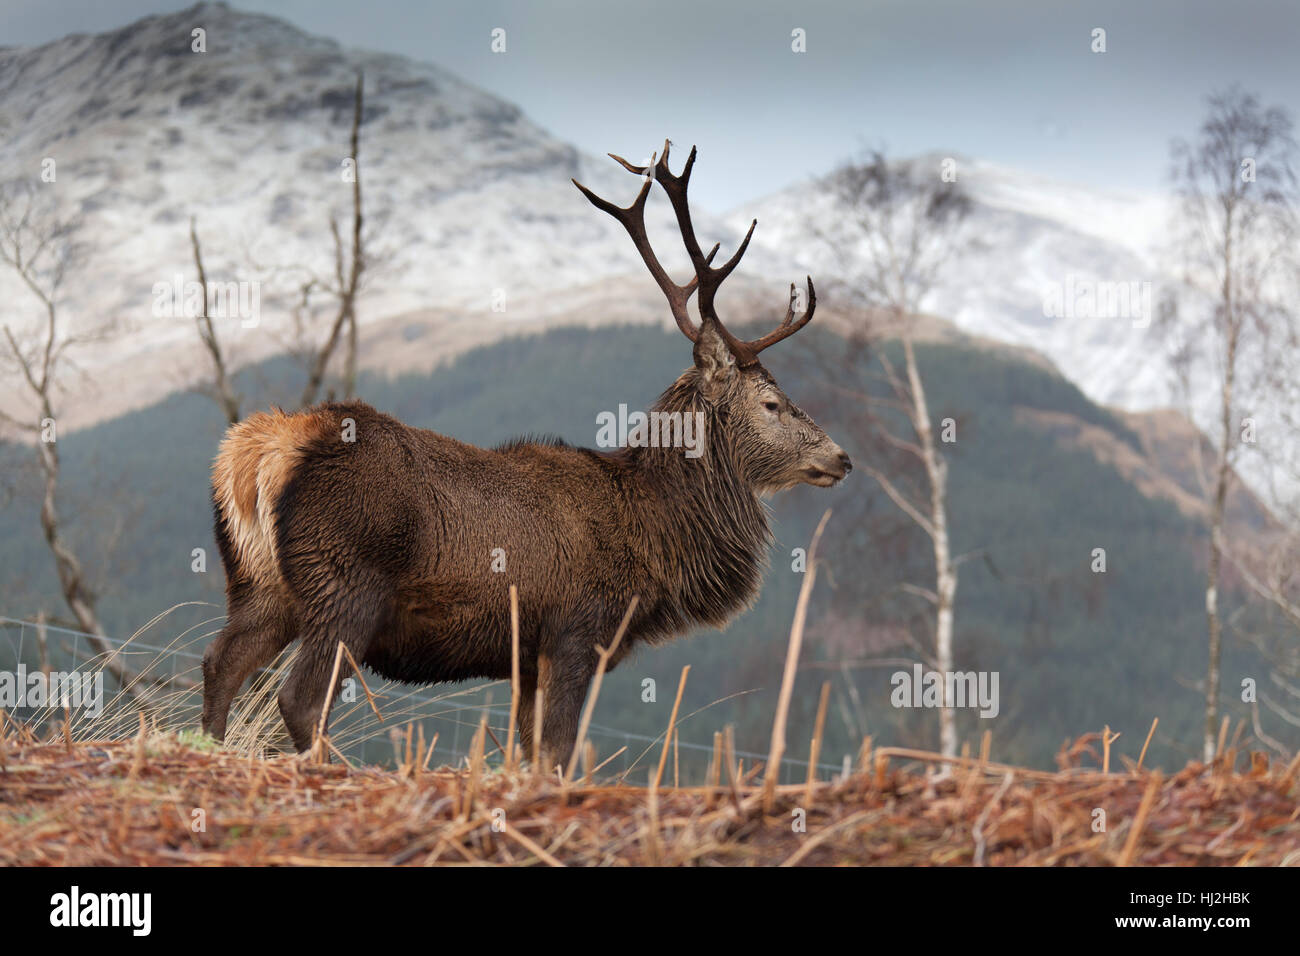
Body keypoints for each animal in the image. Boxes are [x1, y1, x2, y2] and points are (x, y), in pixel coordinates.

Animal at [201, 140, 851, 770]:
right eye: (771, 402)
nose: (842, 458)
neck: (653, 538)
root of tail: (263, 449)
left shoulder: (527, 655)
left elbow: (527, 749)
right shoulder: (575, 631)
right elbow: (558, 753)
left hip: (260, 583)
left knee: (220, 663)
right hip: (345, 581)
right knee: (298, 697)